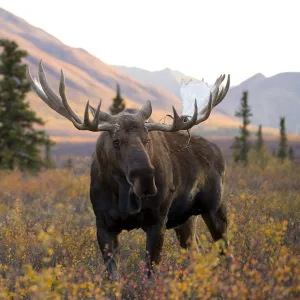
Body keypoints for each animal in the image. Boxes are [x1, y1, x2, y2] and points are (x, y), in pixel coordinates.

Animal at [27, 61, 231, 278]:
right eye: (116, 141)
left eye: (147, 139)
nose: (146, 180)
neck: (123, 195)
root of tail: (217, 150)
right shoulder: (104, 225)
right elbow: (113, 277)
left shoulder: (157, 222)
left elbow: (150, 275)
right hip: (184, 218)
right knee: (195, 251)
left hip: (214, 207)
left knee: (226, 251)